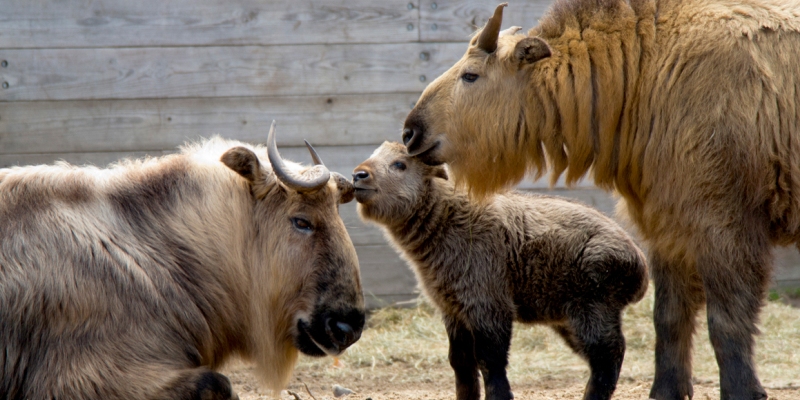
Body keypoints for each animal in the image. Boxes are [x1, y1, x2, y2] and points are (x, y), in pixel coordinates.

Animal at [354, 141, 648, 400]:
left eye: (400, 164)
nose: (359, 175)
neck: (446, 220)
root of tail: (639, 264)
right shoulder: (453, 309)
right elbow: (461, 362)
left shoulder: (488, 304)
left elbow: (491, 361)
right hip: (569, 319)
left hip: (592, 308)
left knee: (609, 356)